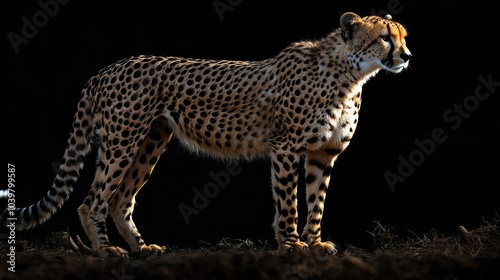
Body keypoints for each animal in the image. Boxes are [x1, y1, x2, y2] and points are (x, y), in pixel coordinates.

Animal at [1, 12, 412, 258]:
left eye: (404, 37)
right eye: (384, 38)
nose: (407, 56)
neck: (351, 75)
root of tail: (107, 68)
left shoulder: (323, 154)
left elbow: (317, 202)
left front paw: (315, 242)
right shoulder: (286, 148)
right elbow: (289, 203)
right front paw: (292, 244)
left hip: (151, 141)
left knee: (120, 200)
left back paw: (142, 248)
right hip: (123, 141)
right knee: (93, 200)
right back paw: (105, 252)